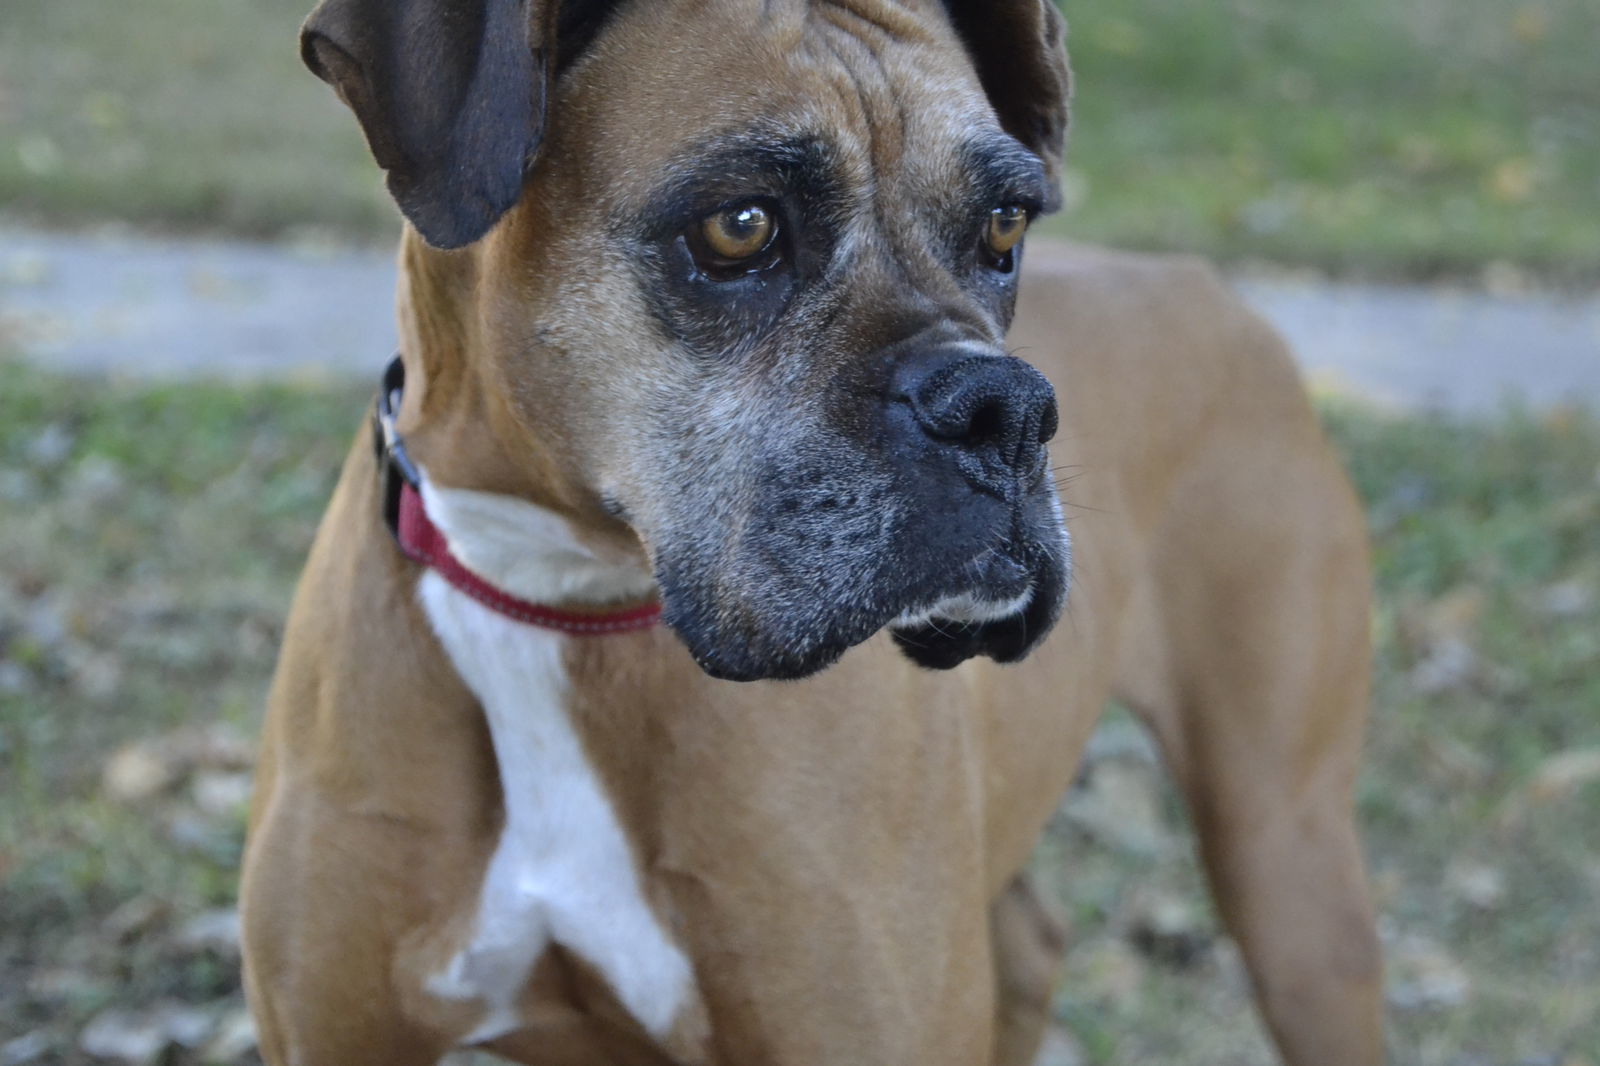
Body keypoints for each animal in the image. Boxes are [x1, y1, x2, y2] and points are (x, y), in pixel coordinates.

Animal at [243, 2, 1382, 1062]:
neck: (554, 592)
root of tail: (1208, 285)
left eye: (1006, 227)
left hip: (1288, 861)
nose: (1006, 410)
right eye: (740, 226)